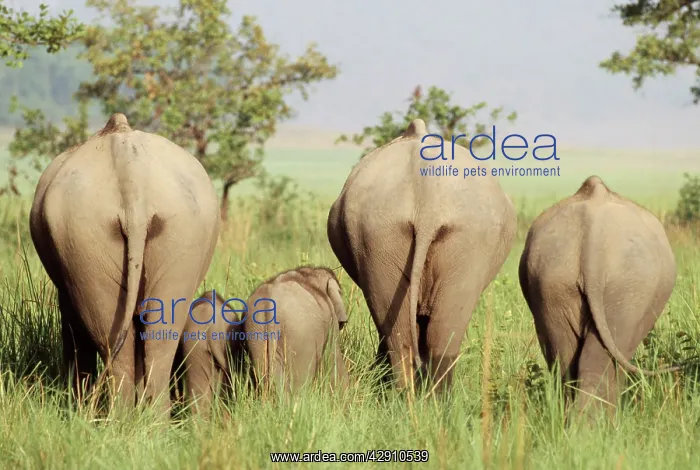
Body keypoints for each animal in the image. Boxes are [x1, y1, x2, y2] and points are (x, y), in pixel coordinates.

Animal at [29, 113, 220, 411]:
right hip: (169, 232)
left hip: (87, 237)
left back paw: (118, 418)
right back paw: (147, 420)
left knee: (113, 336)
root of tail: (132, 179)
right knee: (158, 338)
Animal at [518, 175, 680, 417]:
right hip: (629, 286)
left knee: (564, 358)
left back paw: (576, 422)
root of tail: (593, 239)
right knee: (607, 355)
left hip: (551, 278)